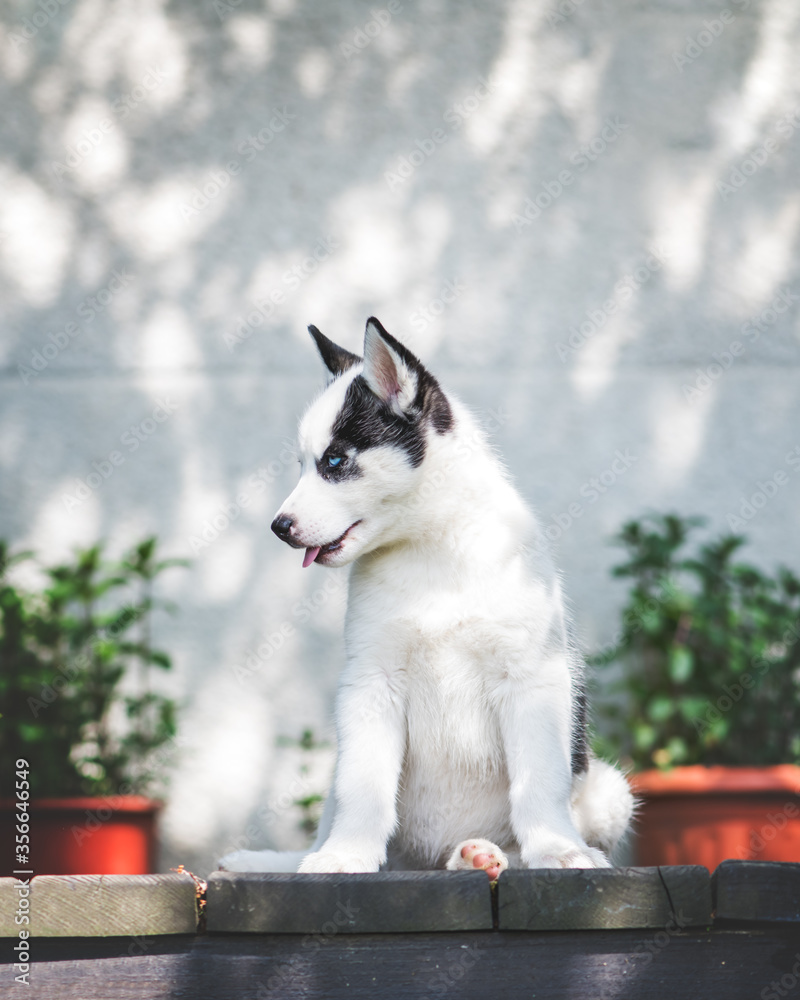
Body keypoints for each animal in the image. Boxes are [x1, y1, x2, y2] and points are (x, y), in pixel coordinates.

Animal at [217, 320, 632, 876]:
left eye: (334, 460)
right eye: (302, 464)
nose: (279, 527)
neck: (433, 548)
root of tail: (429, 861)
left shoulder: (531, 679)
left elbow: (540, 782)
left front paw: (558, 849)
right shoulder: (372, 681)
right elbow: (364, 788)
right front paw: (346, 855)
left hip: (612, 791)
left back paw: (486, 854)